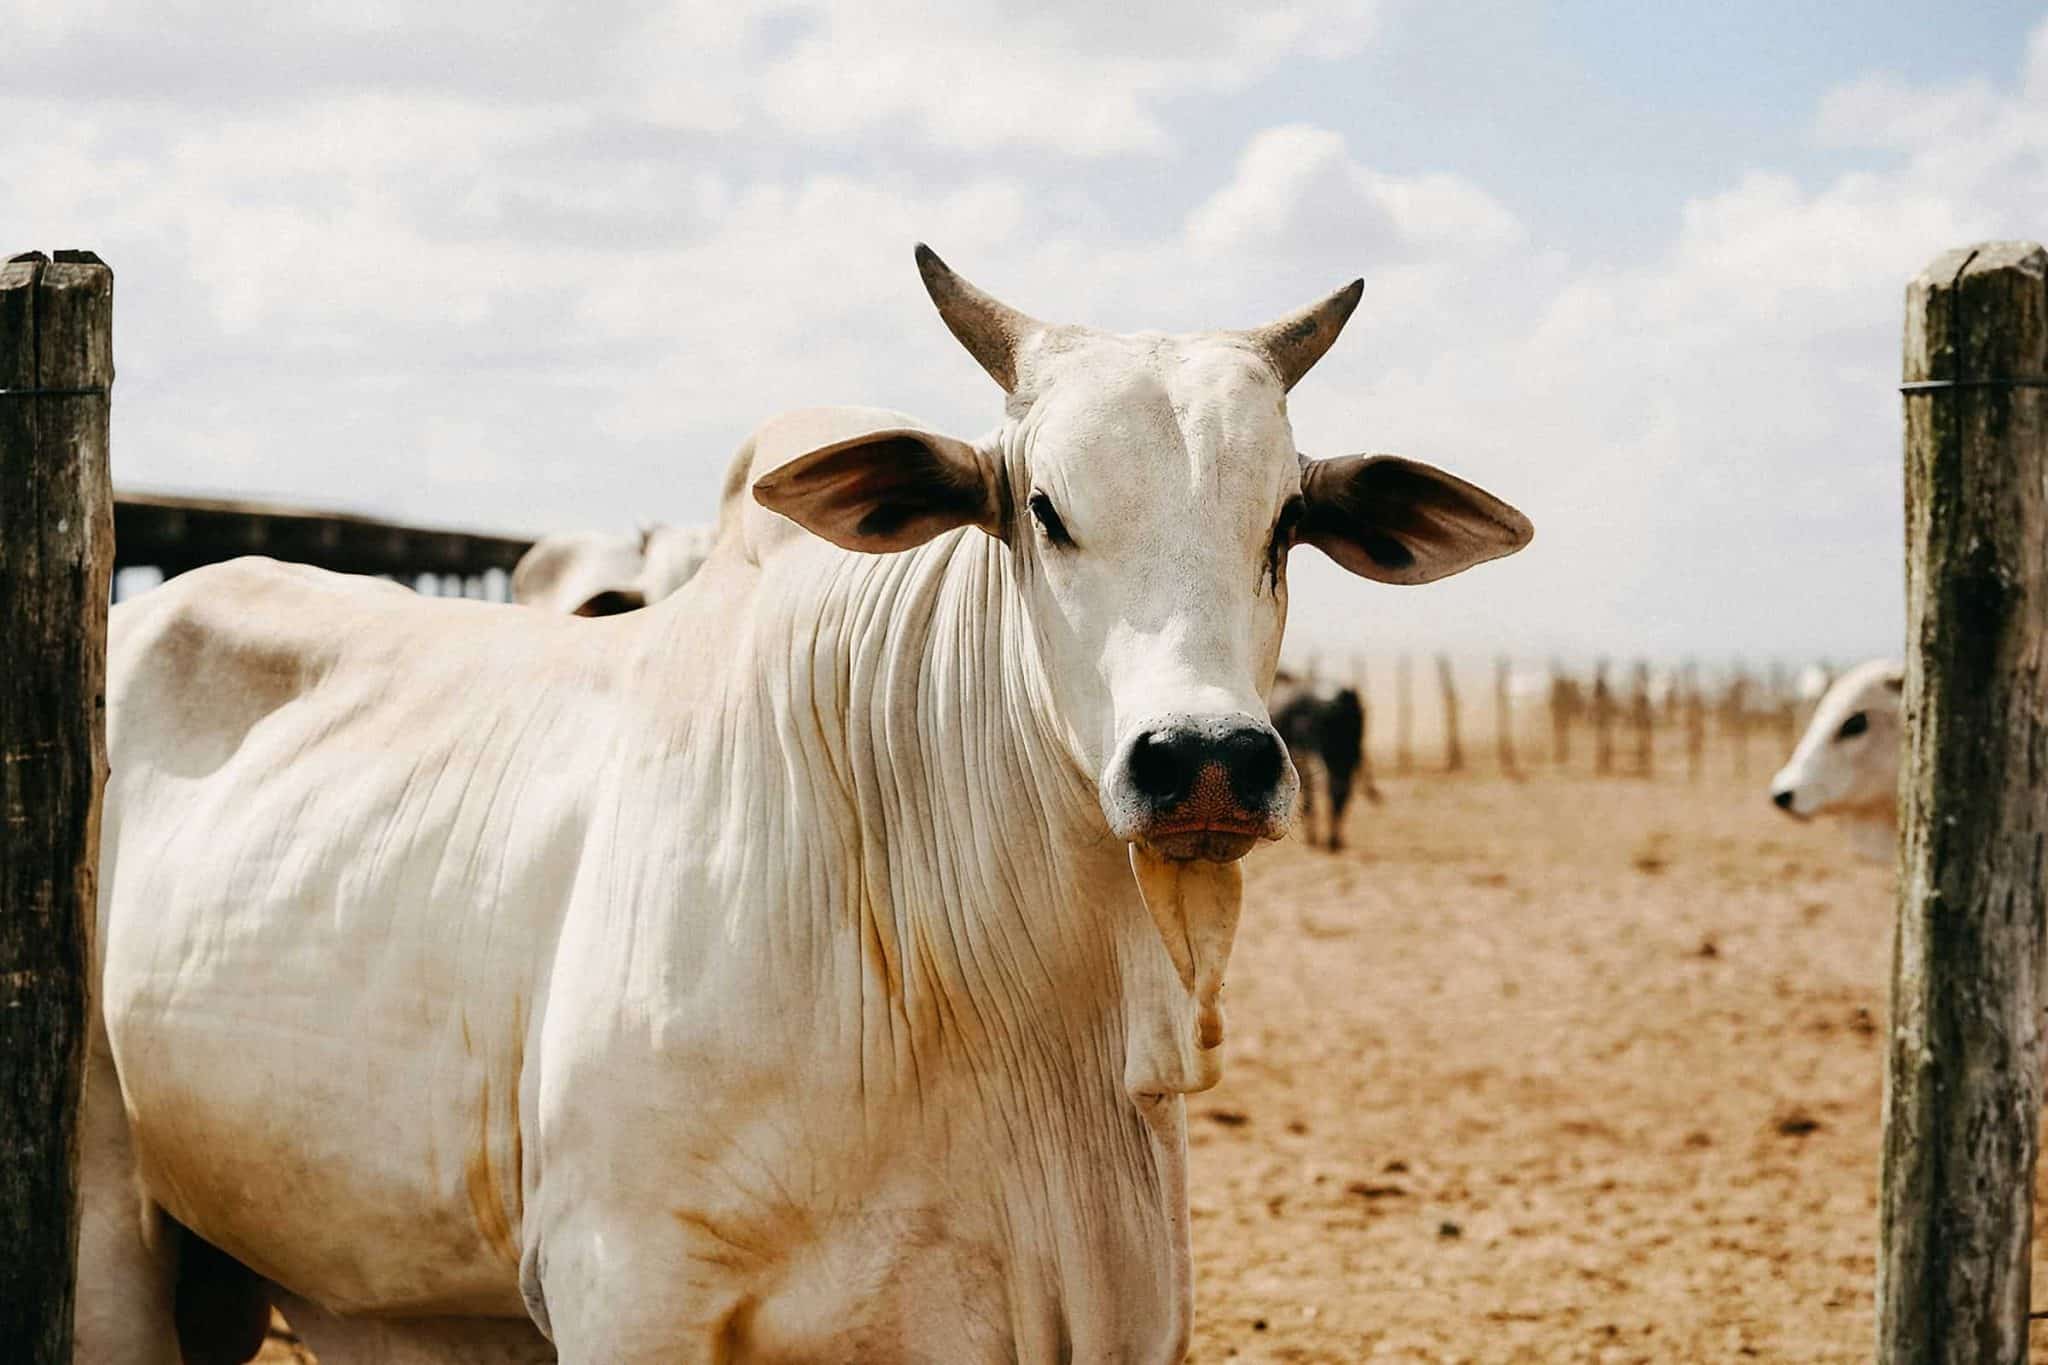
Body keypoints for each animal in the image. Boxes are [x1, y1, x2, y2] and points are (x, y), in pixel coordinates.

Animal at [1261, 675, 1376, 855]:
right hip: (1348, 753)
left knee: (1332, 789)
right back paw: (1336, 840)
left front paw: (1311, 836)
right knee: (1342, 790)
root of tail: (1345, 695)